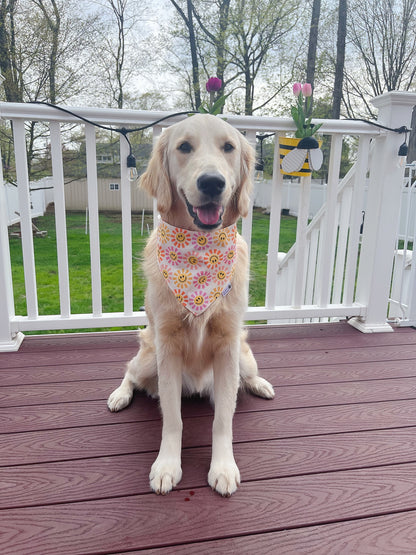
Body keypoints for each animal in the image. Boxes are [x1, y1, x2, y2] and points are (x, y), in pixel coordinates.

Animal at [108, 113, 272, 496]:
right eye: (184, 147)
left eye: (228, 147)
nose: (212, 182)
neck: (198, 251)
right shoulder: (167, 347)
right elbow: (173, 419)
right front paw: (167, 466)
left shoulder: (228, 348)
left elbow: (223, 418)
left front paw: (223, 467)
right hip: (149, 357)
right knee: (129, 372)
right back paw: (119, 395)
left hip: (245, 359)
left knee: (248, 377)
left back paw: (259, 384)